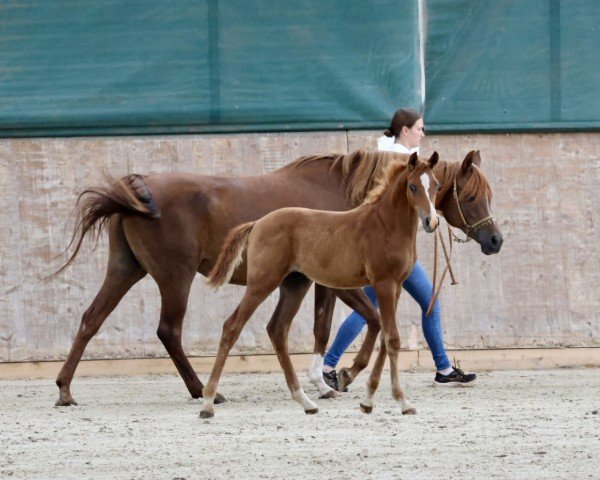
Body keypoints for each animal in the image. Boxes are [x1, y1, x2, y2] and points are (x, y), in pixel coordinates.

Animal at [206, 153, 440, 416]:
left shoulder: (396, 286)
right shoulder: (384, 284)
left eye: (436, 185)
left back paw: (305, 401)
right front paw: (402, 401)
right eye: (412, 186)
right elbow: (392, 339)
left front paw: (367, 401)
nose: (432, 221)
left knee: (277, 329)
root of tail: (257, 223)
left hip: (295, 285)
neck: (385, 225)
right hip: (262, 282)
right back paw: (208, 403)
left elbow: (384, 338)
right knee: (232, 326)